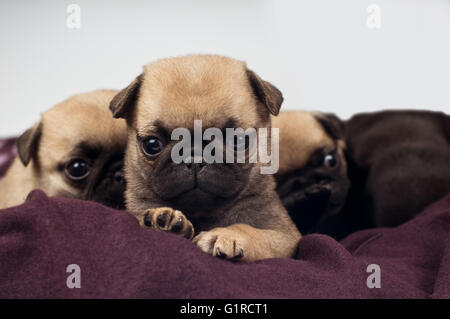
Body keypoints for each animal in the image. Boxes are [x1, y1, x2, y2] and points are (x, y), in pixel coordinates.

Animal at [108, 55, 300, 264]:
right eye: (152, 144)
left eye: (238, 140)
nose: (195, 159)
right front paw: (162, 219)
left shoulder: (284, 237)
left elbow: (252, 231)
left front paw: (227, 235)